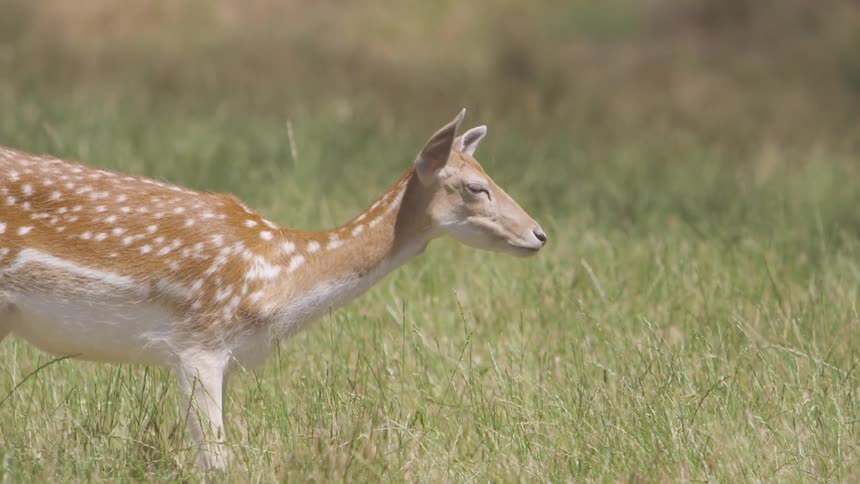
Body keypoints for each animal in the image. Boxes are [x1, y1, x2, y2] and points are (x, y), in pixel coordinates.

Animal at [0, 109, 547, 471]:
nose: (540, 234)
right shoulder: (198, 341)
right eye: (476, 187)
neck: (277, 281)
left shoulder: (225, 360)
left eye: (490, 176)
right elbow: (219, 462)